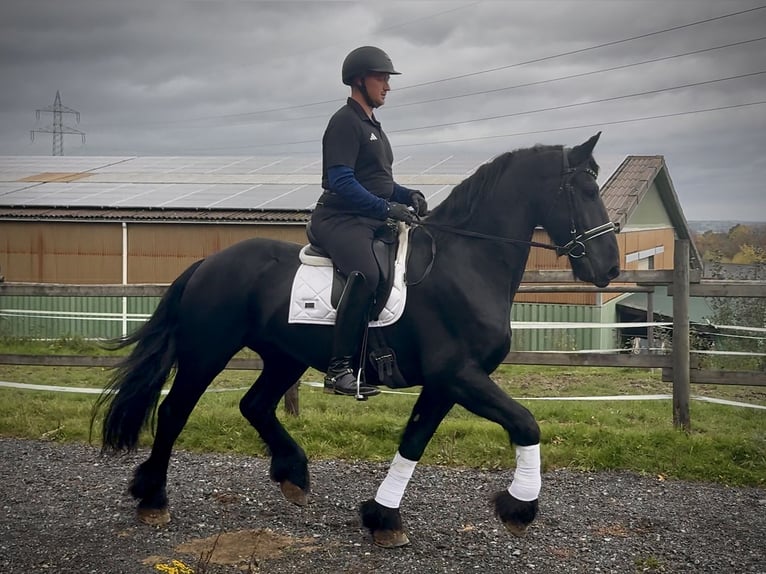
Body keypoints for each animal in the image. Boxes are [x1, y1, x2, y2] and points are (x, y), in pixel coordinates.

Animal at [93, 133, 620, 548]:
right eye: (584, 189)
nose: (609, 268)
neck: (467, 262)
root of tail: (209, 263)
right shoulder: (460, 376)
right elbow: (526, 423)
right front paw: (518, 508)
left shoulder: (445, 384)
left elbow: (414, 441)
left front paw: (384, 518)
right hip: (207, 352)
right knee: (174, 412)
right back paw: (154, 499)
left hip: (285, 358)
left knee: (254, 404)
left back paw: (293, 475)